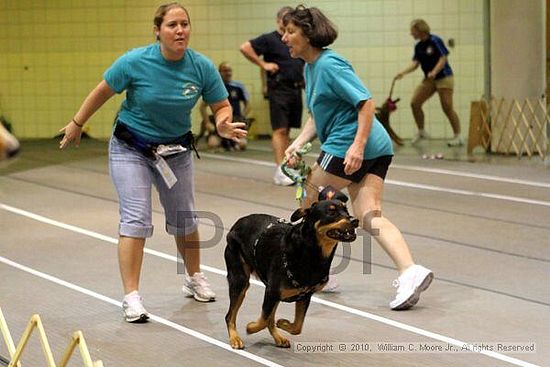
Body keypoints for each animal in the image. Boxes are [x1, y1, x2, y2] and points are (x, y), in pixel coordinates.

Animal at [225, 190, 360, 350]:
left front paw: (283, 323)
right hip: (239, 280)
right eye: (331, 212)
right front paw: (251, 327)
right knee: (230, 315)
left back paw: (278, 337)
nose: (355, 220)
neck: (311, 253)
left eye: (346, 210)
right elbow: (264, 319)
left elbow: (297, 326)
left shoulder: (304, 296)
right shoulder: (272, 291)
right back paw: (235, 338)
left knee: (269, 318)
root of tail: (237, 224)